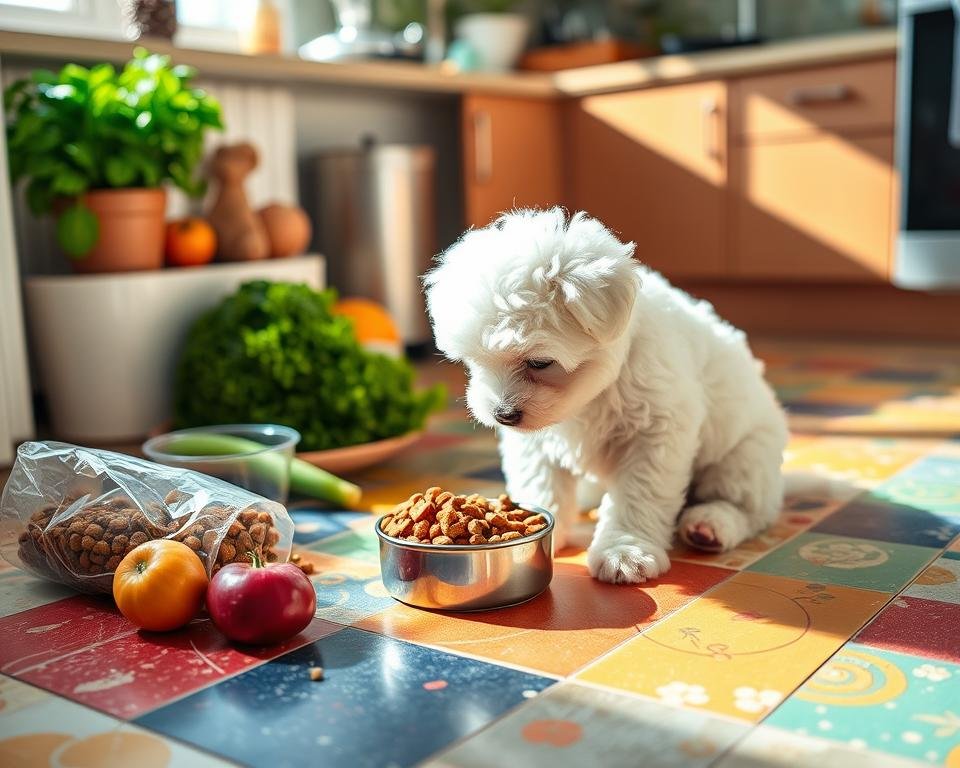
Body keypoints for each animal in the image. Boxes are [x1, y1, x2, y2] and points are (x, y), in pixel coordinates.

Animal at [424, 207, 784, 584]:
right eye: (473, 360)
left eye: (539, 362)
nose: (503, 415)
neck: (591, 396)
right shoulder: (535, 442)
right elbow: (541, 482)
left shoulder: (655, 433)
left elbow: (638, 496)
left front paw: (624, 552)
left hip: (744, 459)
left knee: (745, 508)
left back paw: (709, 526)